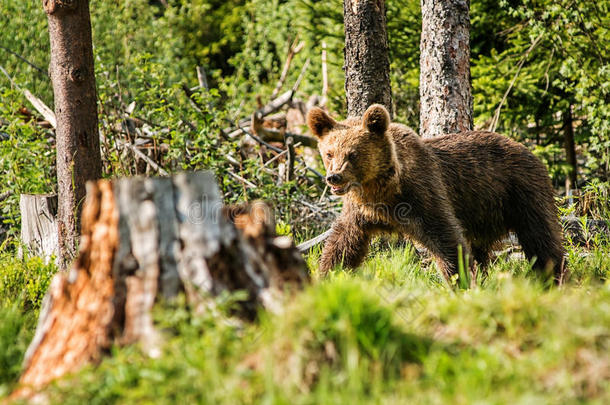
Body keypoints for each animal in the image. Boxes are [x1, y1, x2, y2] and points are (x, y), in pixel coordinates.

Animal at [308, 102, 564, 282]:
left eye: (353, 154)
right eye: (329, 153)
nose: (334, 177)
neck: (382, 189)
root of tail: (529, 150)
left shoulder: (422, 193)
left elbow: (445, 238)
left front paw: (460, 280)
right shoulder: (361, 210)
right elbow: (342, 243)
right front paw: (326, 275)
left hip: (522, 191)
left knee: (541, 236)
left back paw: (554, 276)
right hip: (484, 213)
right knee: (482, 248)